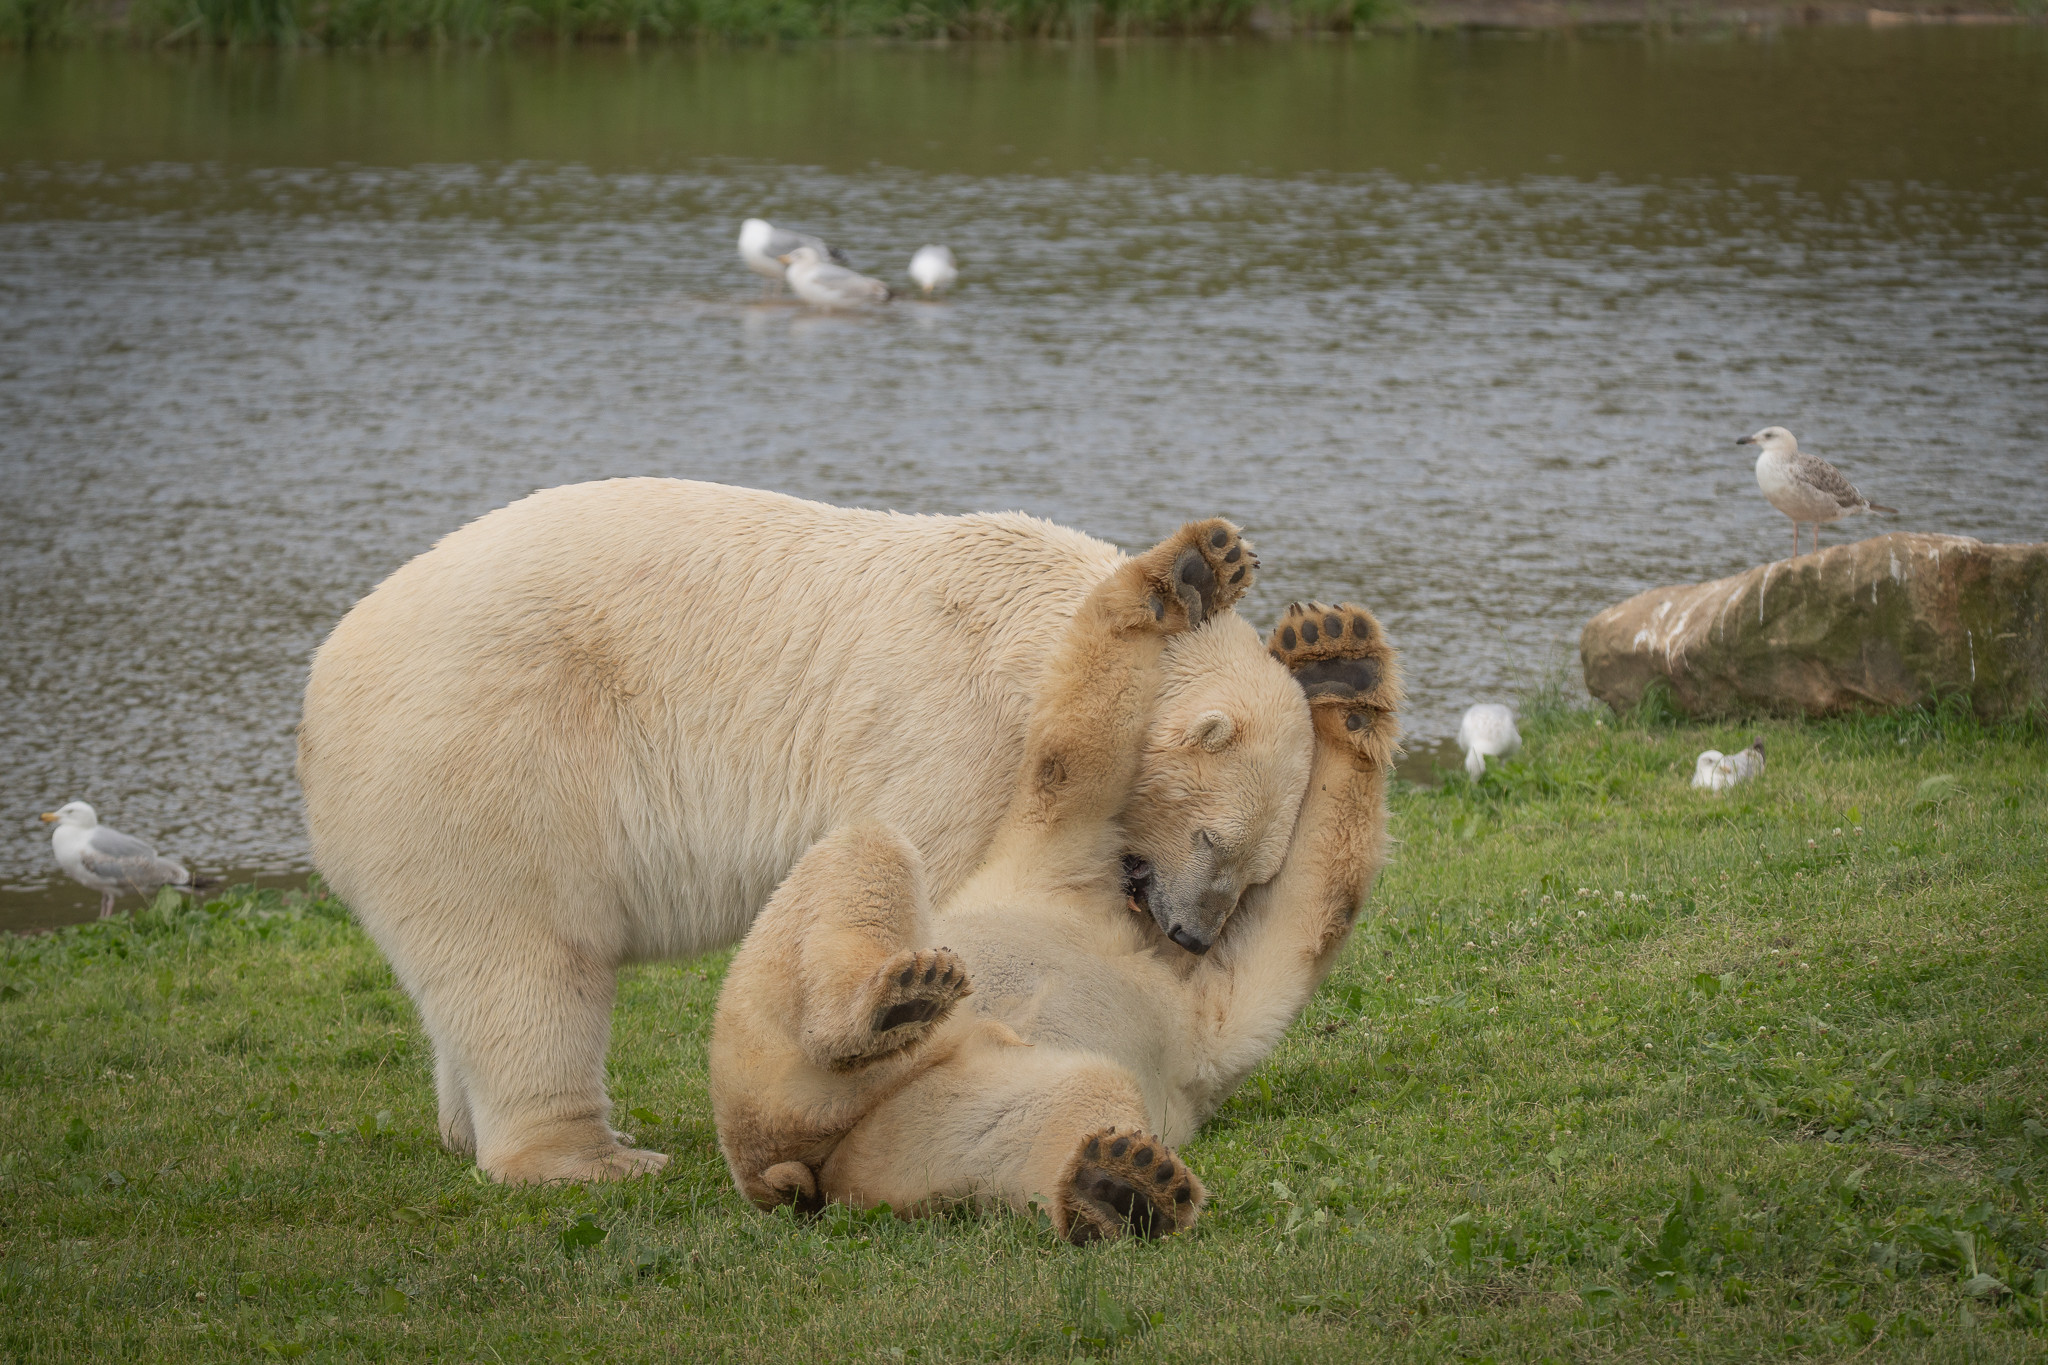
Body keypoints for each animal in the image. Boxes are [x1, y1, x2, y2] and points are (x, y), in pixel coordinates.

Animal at [297, 480, 1319, 1184]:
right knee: (532, 964)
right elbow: (943, 876)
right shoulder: (952, 729)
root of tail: (321, 685)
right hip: (492, 762)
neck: (1021, 619)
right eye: (1216, 843)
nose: (1191, 934)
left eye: (1255, 870)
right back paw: (594, 1154)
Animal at [709, 517, 1400, 1243]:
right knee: (869, 850)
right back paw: (897, 998)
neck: (1122, 919)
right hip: (771, 1035)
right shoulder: (1061, 859)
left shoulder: (1198, 1022)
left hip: (910, 1125)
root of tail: (785, 1168)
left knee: (1057, 1105)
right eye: (1211, 840)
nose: (1192, 935)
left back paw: (1120, 1182)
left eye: (1249, 872)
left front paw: (1336, 660)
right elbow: (1078, 749)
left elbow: (1304, 914)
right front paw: (1209, 573)